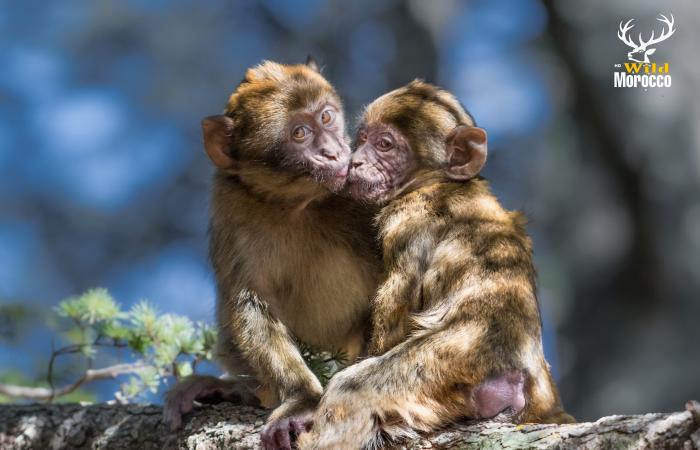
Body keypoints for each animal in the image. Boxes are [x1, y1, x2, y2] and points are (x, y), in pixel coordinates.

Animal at [300, 81, 576, 450]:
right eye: (363, 138)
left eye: (384, 145)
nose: (356, 161)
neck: (436, 180)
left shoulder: (409, 220)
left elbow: (396, 306)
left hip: (442, 365)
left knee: (351, 390)